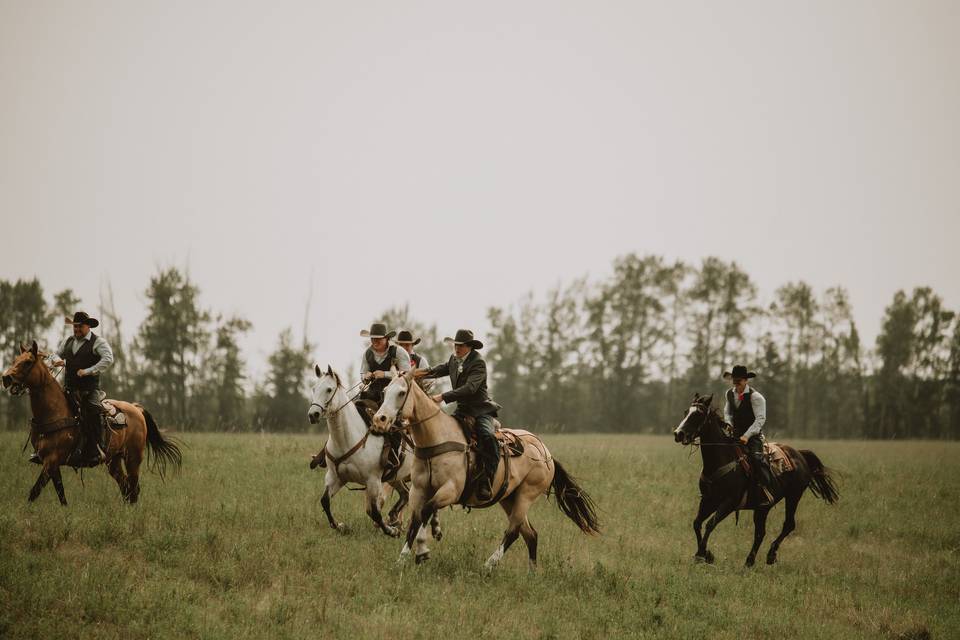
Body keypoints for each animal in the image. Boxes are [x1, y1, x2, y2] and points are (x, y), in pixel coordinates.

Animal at [1, 340, 182, 504]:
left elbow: (35, 491)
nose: (6, 378)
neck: (54, 413)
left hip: (133, 458)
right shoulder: (52, 462)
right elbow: (61, 494)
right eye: (15, 360)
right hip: (113, 460)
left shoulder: (52, 460)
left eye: (28, 362)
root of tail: (136, 408)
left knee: (133, 488)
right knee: (125, 487)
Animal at [308, 362, 438, 536]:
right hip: (395, 477)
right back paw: (394, 518)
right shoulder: (335, 477)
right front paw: (339, 525)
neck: (346, 439)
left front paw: (390, 531)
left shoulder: (373, 481)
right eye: (314, 388)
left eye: (329, 389)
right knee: (405, 494)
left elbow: (374, 512)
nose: (313, 415)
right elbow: (325, 501)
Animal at [370, 370, 600, 568]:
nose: (379, 420)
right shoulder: (418, 490)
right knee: (530, 534)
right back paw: (531, 572)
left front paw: (422, 551)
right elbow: (415, 521)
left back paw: (489, 565)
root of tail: (546, 454)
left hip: (526, 495)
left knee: (514, 532)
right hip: (508, 497)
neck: (437, 438)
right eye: (384, 391)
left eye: (401, 392)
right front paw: (402, 559)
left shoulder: (450, 491)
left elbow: (426, 511)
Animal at [672, 392, 836, 568]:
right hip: (763, 507)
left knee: (788, 524)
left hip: (793, 496)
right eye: (686, 412)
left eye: (698, 414)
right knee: (760, 532)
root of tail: (799, 454)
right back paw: (750, 561)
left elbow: (710, 523)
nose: (678, 434)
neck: (721, 460)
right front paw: (705, 554)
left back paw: (770, 555)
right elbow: (697, 523)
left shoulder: (730, 502)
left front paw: (703, 554)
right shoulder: (709, 500)